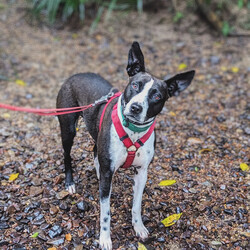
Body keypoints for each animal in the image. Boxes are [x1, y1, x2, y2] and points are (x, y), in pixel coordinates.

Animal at [56, 42, 195, 249]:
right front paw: (105, 239)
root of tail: (75, 75)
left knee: (95, 150)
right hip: (68, 128)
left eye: (157, 96)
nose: (136, 107)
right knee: (67, 155)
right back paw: (70, 183)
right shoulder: (108, 173)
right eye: (135, 85)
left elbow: (136, 205)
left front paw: (139, 227)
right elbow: (105, 213)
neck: (133, 130)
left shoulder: (142, 172)